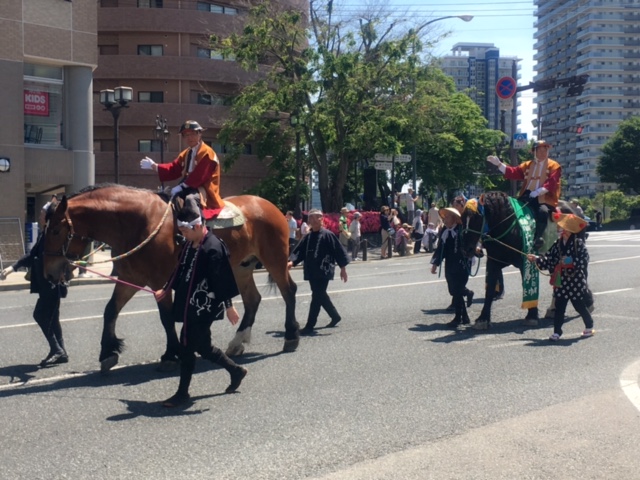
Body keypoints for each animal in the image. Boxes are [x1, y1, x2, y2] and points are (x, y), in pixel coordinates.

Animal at [43, 184, 298, 372]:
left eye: (55, 230)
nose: (49, 272)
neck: (138, 223)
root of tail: (269, 205)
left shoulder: (159, 281)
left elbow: (166, 318)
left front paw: (171, 354)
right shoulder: (131, 279)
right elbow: (110, 310)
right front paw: (108, 352)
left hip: (274, 260)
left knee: (289, 291)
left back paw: (291, 336)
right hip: (241, 268)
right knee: (253, 299)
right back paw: (238, 342)